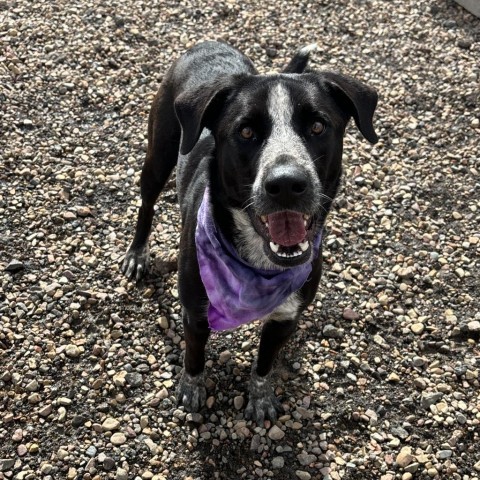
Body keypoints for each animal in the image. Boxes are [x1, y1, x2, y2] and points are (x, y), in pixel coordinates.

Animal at [121, 41, 378, 424]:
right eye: (245, 132)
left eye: (318, 126)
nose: (286, 184)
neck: (258, 266)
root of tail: (206, 44)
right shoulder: (195, 312)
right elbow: (194, 357)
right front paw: (192, 390)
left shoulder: (284, 318)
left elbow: (265, 361)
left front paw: (261, 397)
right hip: (159, 154)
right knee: (147, 203)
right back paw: (137, 252)